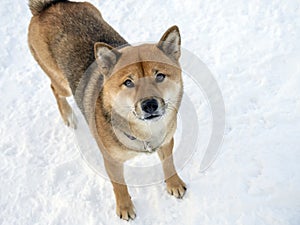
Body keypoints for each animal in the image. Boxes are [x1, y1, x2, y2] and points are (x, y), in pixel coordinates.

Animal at [28, 0, 188, 219]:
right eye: (128, 82)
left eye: (160, 76)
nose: (149, 104)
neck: (144, 133)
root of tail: (48, 6)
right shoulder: (112, 161)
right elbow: (119, 186)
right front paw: (125, 208)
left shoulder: (165, 142)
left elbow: (169, 164)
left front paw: (174, 184)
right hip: (62, 83)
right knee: (54, 88)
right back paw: (68, 116)